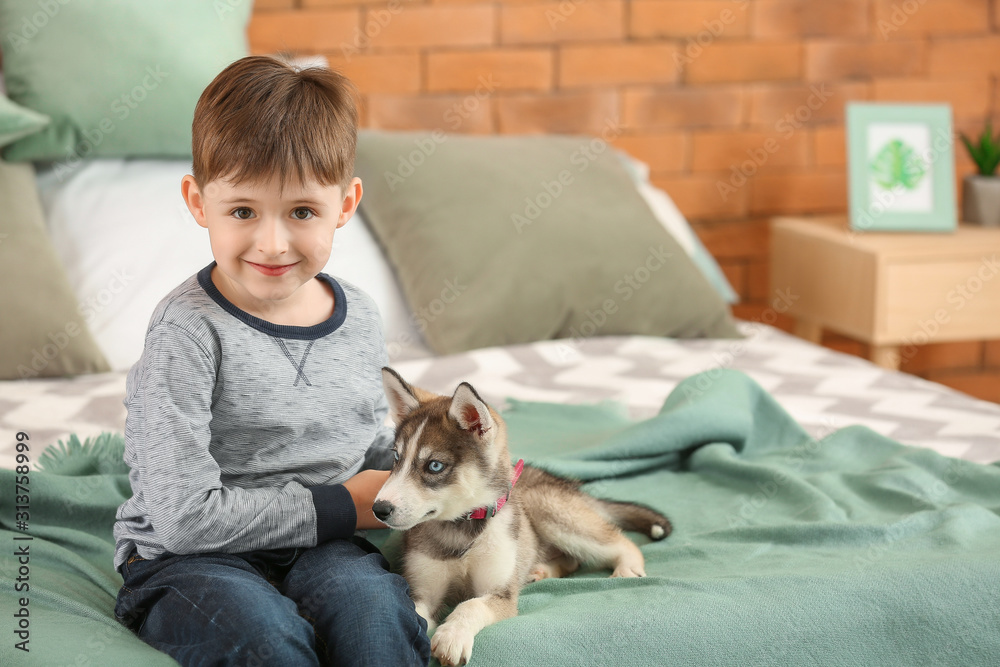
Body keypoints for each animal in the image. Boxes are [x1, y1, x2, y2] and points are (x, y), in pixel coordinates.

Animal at [376, 370, 672, 667]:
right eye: (396, 457)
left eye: (434, 465)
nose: (379, 508)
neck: (463, 528)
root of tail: (557, 481)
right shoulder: (423, 591)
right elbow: (416, 614)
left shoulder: (501, 594)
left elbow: (470, 604)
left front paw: (453, 635)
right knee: (572, 559)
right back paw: (541, 570)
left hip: (547, 510)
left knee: (620, 542)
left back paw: (627, 567)